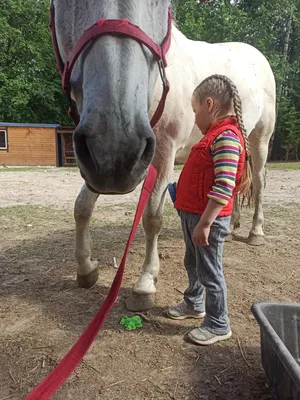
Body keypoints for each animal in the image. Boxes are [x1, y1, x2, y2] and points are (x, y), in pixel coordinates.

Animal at [54, 0, 276, 310]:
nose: (114, 140)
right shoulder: (97, 162)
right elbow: (82, 207)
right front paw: (86, 268)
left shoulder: (164, 154)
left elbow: (152, 217)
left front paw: (145, 283)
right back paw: (232, 226)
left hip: (260, 140)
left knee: (259, 182)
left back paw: (255, 232)